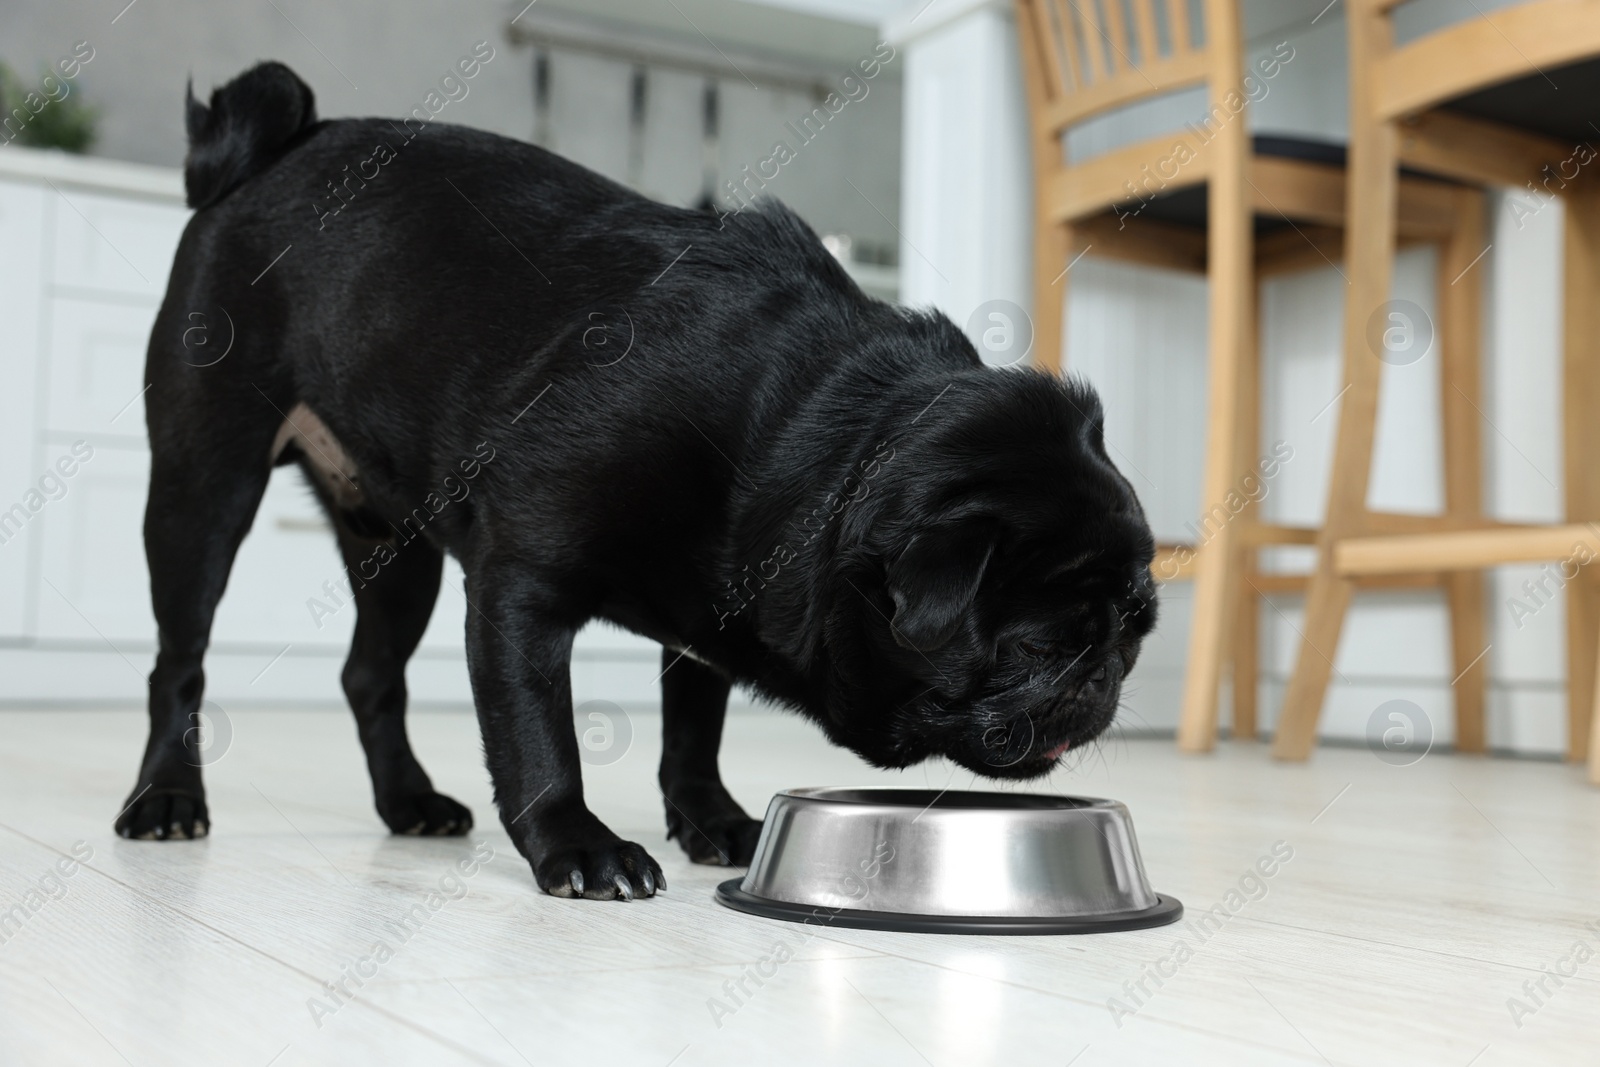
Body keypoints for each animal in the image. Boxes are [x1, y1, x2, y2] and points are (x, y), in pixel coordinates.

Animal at [118, 60, 1158, 902]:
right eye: (1035, 647)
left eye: (1135, 631)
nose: (1102, 674)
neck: (820, 433)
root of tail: (271, 150)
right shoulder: (521, 586)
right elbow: (540, 735)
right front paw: (578, 846)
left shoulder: (708, 618)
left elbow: (692, 732)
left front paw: (715, 821)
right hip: (203, 487)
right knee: (180, 660)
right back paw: (167, 795)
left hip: (396, 550)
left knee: (371, 674)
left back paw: (408, 800)